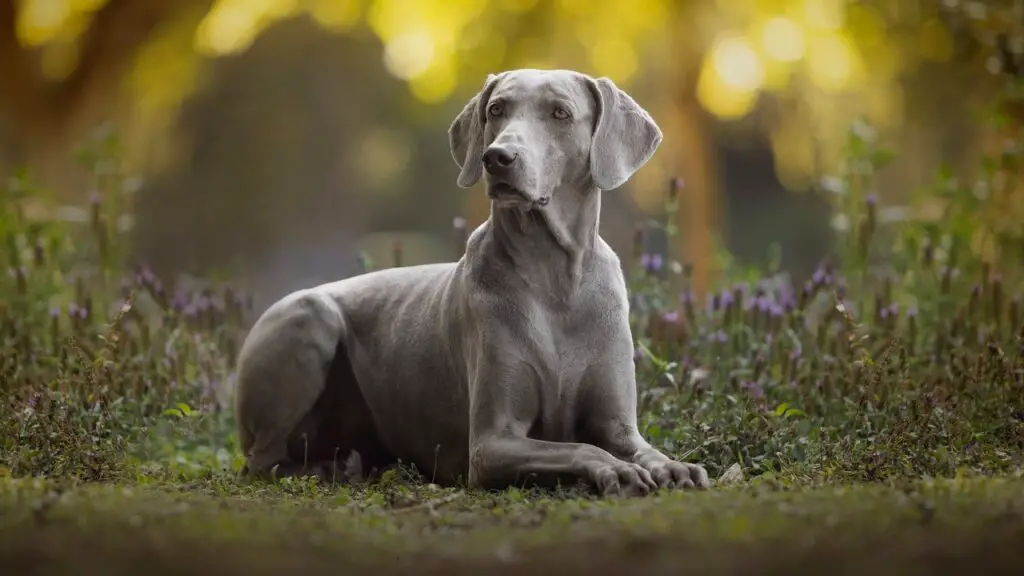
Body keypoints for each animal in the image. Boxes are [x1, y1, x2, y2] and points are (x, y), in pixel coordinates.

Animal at [234, 67, 712, 496]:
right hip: (310, 315)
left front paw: (675, 467)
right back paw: (323, 470)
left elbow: (643, 450)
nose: (498, 157)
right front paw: (619, 471)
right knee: (262, 461)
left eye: (560, 113)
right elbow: (581, 448)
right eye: (497, 109)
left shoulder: (618, 426)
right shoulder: (491, 443)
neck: (553, 278)